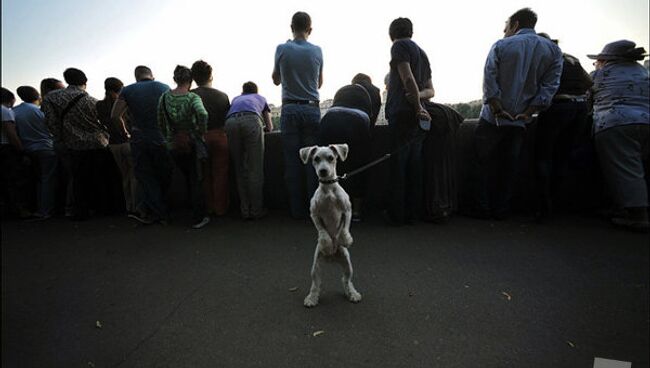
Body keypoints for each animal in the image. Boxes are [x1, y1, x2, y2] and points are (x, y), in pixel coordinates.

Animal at [298, 144, 360, 308]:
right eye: (316, 159)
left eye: (331, 158)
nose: (323, 171)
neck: (329, 191)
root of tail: (332, 258)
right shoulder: (314, 214)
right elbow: (322, 231)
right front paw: (326, 242)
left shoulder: (347, 210)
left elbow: (345, 227)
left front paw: (345, 238)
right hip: (316, 266)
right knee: (316, 284)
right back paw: (312, 298)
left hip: (347, 263)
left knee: (346, 280)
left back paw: (352, 293)